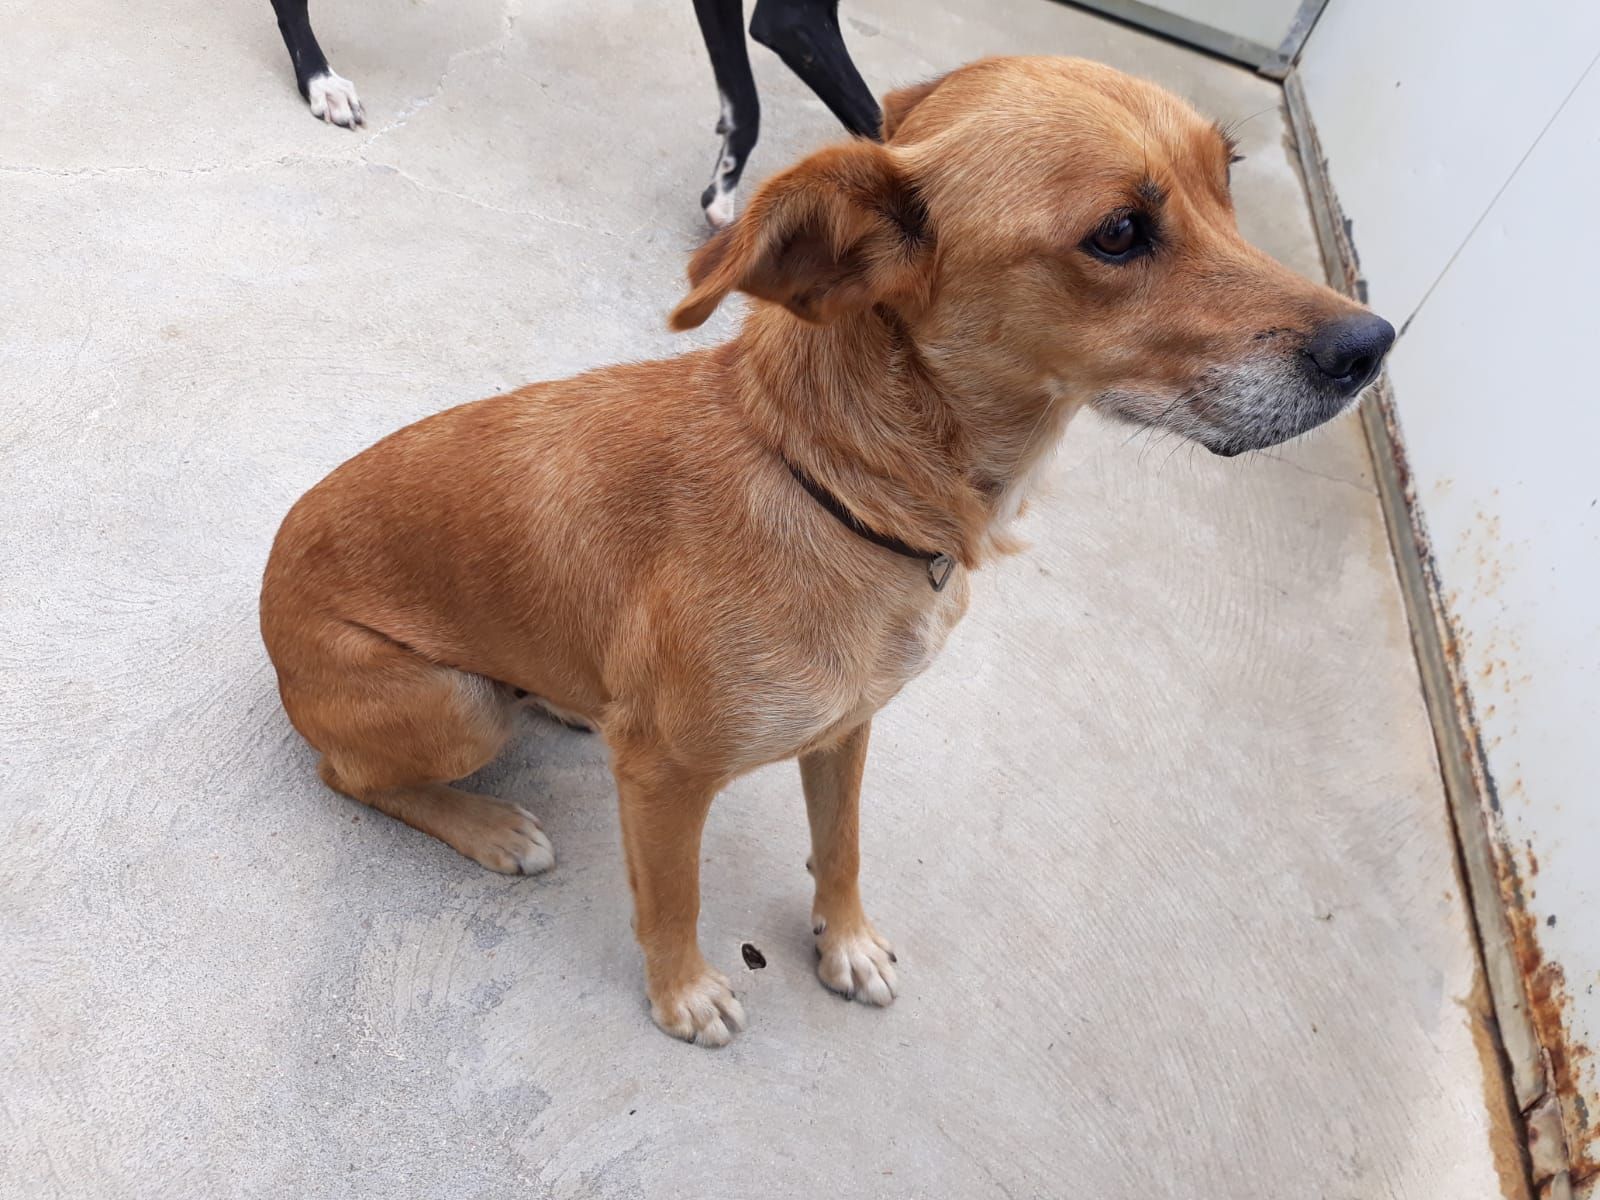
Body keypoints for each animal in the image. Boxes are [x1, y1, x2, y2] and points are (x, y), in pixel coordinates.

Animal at [259, 56, 1395, 1047]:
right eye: (1119, 232)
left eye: (1226, 180)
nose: (1373, 347)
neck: (840, 488)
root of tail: (268, 605)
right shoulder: (666, 779)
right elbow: (673, 900)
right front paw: (682, 993)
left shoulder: (847, 727)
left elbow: (839, 847)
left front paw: (844, 944)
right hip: (454, 706)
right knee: (346, 775)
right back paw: (488, 824)